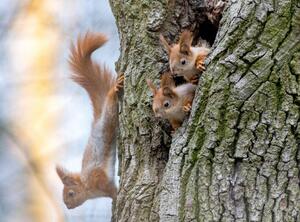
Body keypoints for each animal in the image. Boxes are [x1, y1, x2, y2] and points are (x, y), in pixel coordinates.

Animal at [56, 32, 123, 209]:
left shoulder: (98, 178)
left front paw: (117, 197)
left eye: (71, 194)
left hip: (109, 117)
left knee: (111, 102)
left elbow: (111, 189)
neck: (88, 188)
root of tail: (98, 120)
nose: (68, 206)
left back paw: (114, 89)